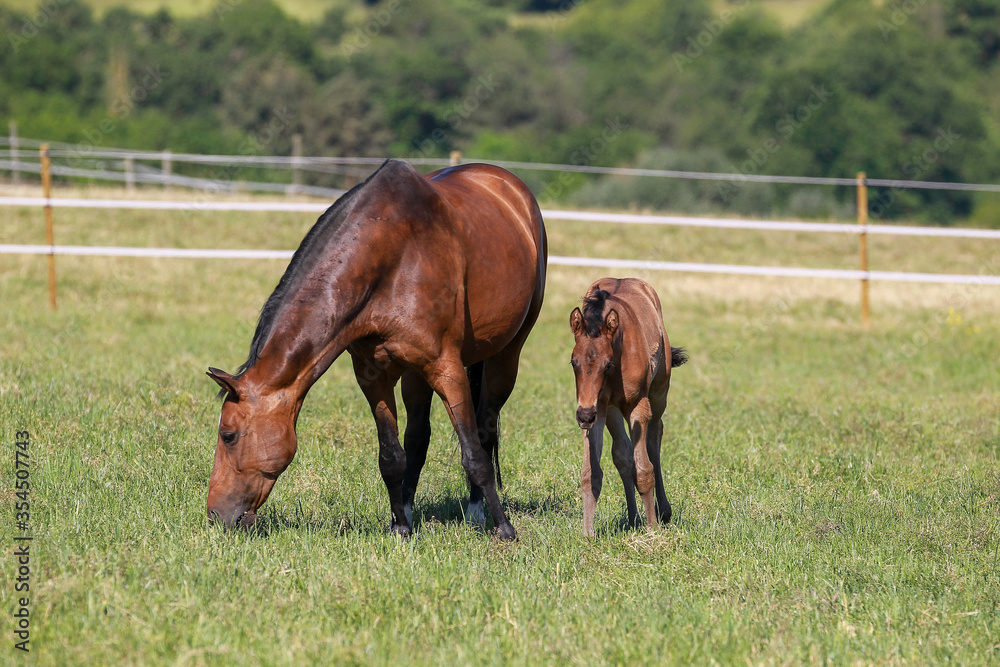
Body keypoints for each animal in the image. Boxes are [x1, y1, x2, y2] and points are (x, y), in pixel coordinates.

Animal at [206, 159, 547, 541]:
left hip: (505, 357)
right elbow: (391, 456)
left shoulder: (447, 368)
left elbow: (474, 454)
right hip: (415, 375)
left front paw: (505, 529)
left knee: (485, 427)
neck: (390, 256)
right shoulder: (373, 375)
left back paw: (477, 511)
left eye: (228, 435)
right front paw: (400, 527)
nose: (215, 515)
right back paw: (412, 510)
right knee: (418, 438)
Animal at [569, 277, 686, 537]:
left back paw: (663, 511)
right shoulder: (599, 408)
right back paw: (633, 519)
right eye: (573, 362)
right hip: (612, 409)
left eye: (608, 363)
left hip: (658, 393)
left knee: (654, 439)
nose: (583, 415)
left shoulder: (637, 406)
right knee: (622, 454)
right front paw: (587, 534)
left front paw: (652, 531)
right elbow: (592, 474)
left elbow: (644, 470)